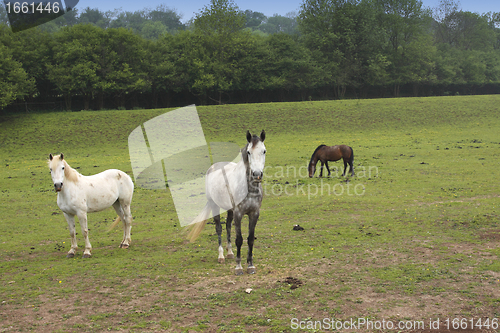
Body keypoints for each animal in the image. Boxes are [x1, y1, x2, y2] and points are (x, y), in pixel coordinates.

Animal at [188, 130, 266, 274]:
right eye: (248, 152)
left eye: (264, 151)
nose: (257, 174)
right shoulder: (238, 213)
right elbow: (239, 239)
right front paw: (238, 267)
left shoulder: (254, 213)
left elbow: (250, 239)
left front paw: (250, 265)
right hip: (215, 205)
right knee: (219, 228)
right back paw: (221, 256)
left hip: (229, 209)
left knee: (228, 226)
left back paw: (230, 253)